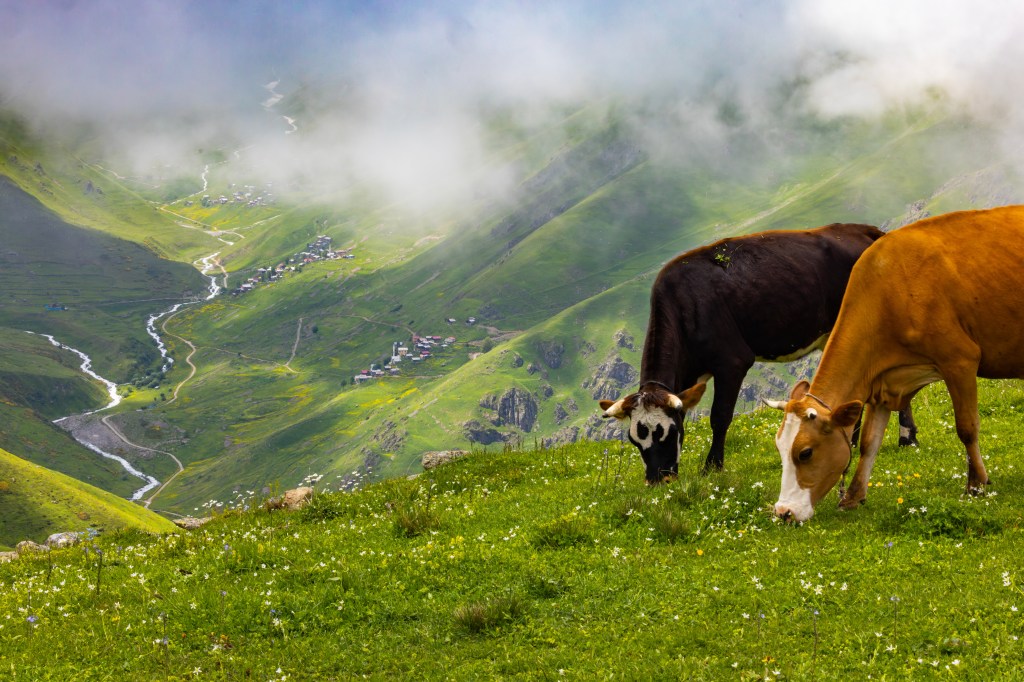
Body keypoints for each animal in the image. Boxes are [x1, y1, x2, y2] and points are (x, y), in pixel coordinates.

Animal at [599, 223, 918, 484]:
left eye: (668, 434)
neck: (686, 307)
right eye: (635, 440)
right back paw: (852, 441)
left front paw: (712, 467)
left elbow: (720, 416)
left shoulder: (732, 361)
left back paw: (907, 439)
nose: (658, 480)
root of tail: (865, 230)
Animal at [769, 205, 1024, 523]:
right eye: (779, 447)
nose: (783, 512)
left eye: (805, 453)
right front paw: (853, 496)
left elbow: (967, 427)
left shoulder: (960, 359)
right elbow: (869, 442)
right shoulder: (882, 383)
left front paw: (977, 484)